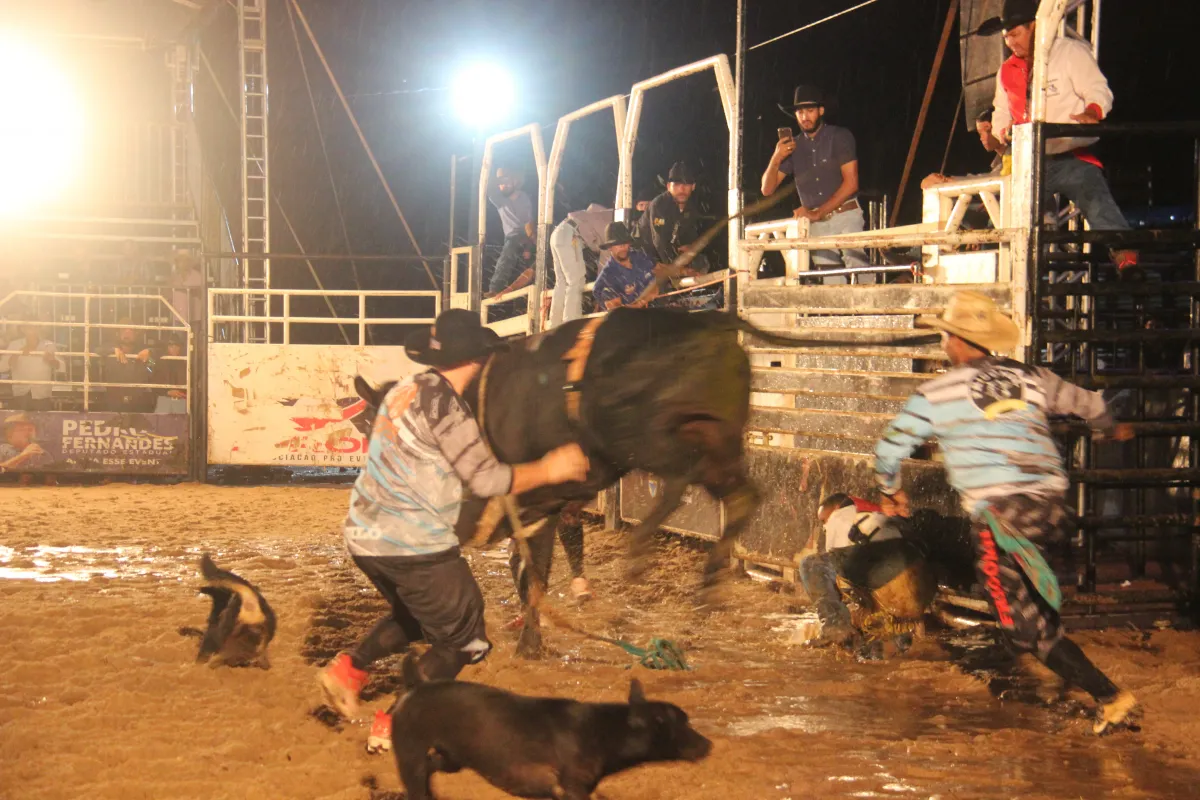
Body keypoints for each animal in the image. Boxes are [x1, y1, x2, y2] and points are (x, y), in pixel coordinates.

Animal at [353, 307, 933, 658]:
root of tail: (708, 320)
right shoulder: (539, 509)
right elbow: (530, 572)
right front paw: (531, 637)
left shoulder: (529, 503)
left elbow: (530, 573)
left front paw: (528, 640)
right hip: (720, 438)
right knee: (741, 496)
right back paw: (705, 587)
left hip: (642, 435)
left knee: (676, 480)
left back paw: (638, 553)